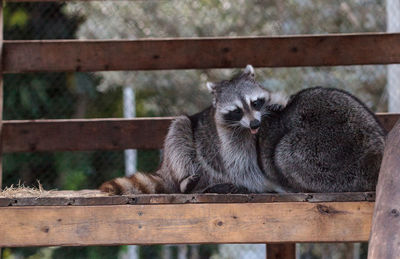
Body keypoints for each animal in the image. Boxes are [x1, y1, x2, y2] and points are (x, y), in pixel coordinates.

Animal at [100, 65, 288, 195]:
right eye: (237, 111)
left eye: (255, 103)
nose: (255, 124)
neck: (246, 129)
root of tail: (164, 169)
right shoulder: (227, 136)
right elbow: (240, 165)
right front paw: (268, 184)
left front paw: (277, 101)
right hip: (181, 159)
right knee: (179, 130)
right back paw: (185, 183)